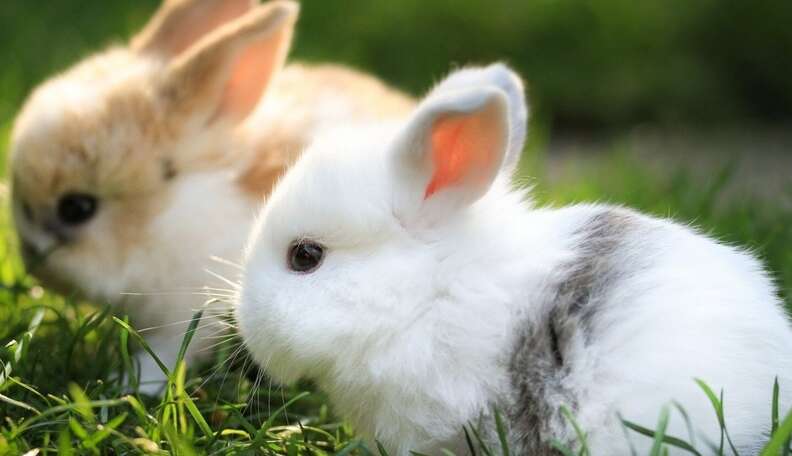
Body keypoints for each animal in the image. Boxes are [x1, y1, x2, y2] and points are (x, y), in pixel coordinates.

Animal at [7, 0, 414, 392]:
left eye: (77, 208)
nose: (33, 263)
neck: (167, 213)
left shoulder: (189, 312)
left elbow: (168, 352)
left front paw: (129, 384)